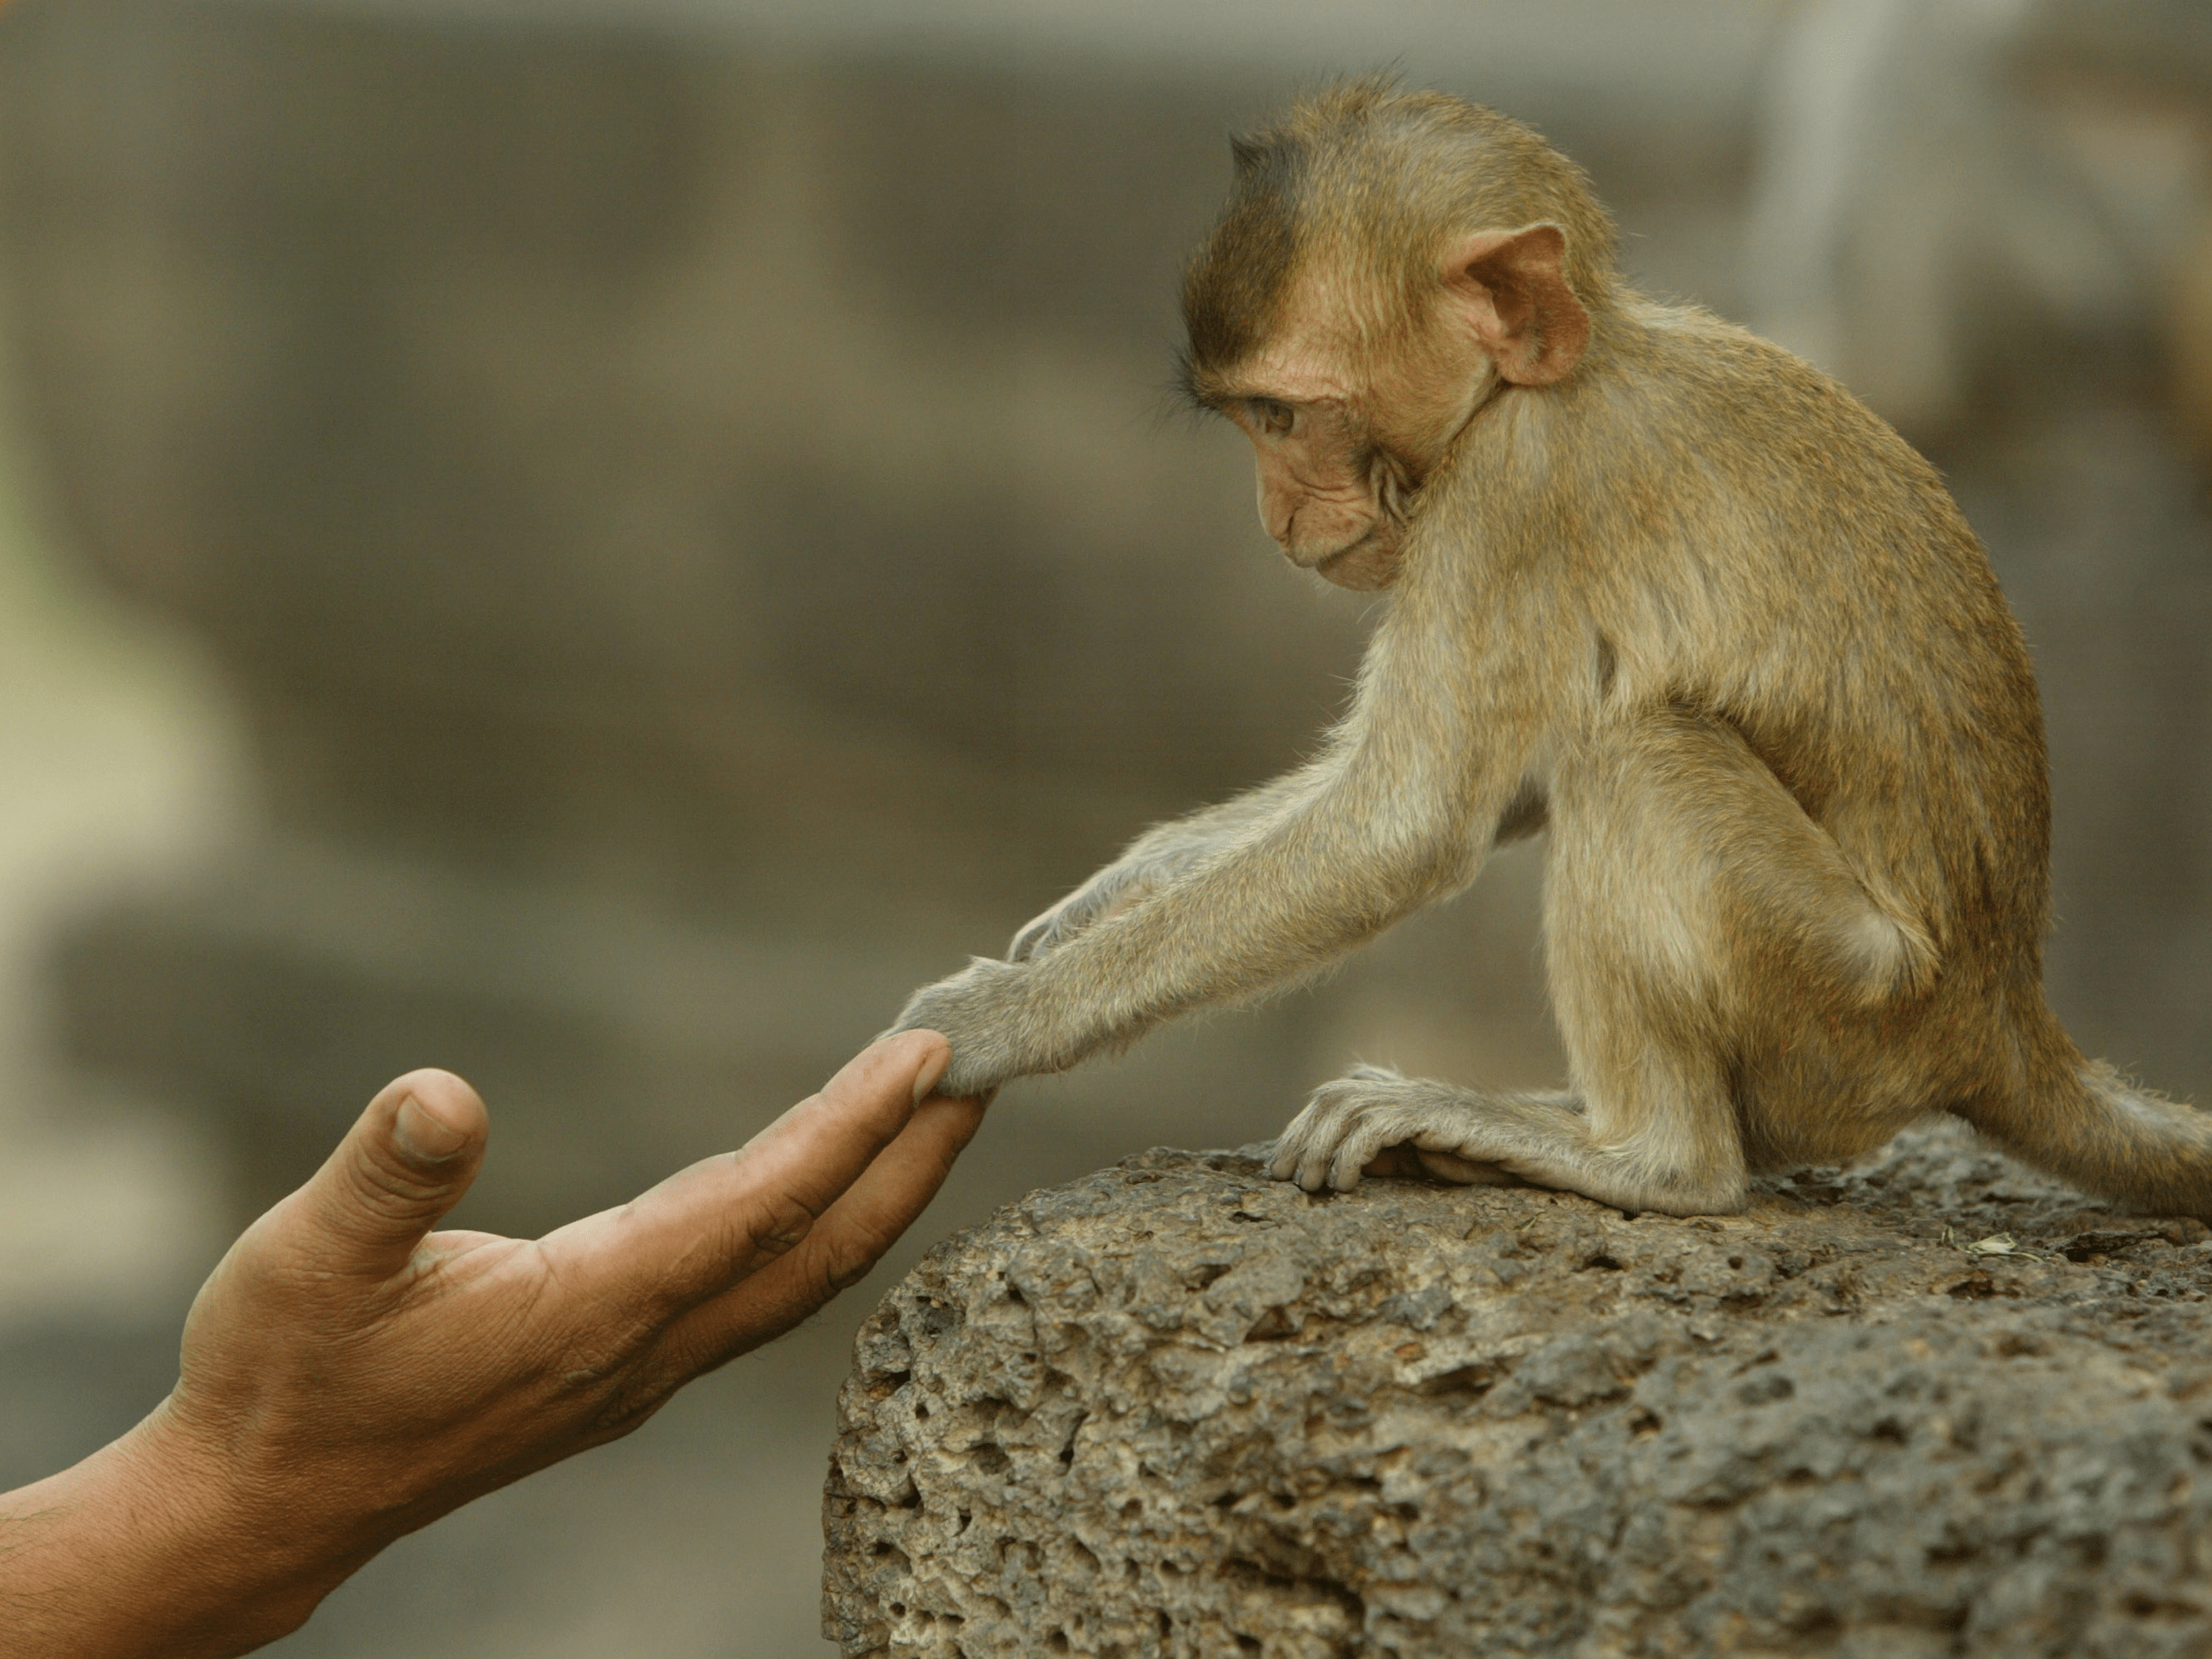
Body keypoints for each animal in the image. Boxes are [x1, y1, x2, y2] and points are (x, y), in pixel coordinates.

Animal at [888, 77, 2212, 1221]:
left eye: (1281, 414)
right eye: (1247, 421)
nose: (1273, 515)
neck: (1557, 371)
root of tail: (1999, 1022)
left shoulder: (1508, 496)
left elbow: (1406, 825)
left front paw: (999, 1018)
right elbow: (1492, 783)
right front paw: (1123, 886)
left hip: (1848, 1002)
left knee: (1634, 753)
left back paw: (1643, 1155)